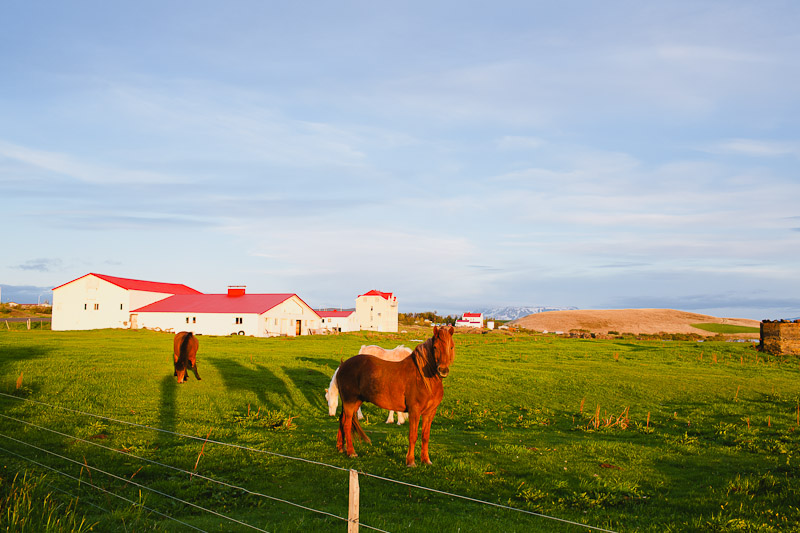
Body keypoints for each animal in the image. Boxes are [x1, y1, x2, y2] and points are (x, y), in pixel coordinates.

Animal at [332, 324, 456, 466]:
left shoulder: (430, 413)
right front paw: (410, 461)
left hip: (355, 402)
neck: (424, 378)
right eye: (435, 347)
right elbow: (413, 436)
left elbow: (425, 436)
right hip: (350, 402)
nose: (443, 370)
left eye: (451, 347)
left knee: (342, 420)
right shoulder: (414, 411)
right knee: (347, 424)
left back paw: (341, 447)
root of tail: (343, 365)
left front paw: (426, 460)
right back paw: (351, 452)